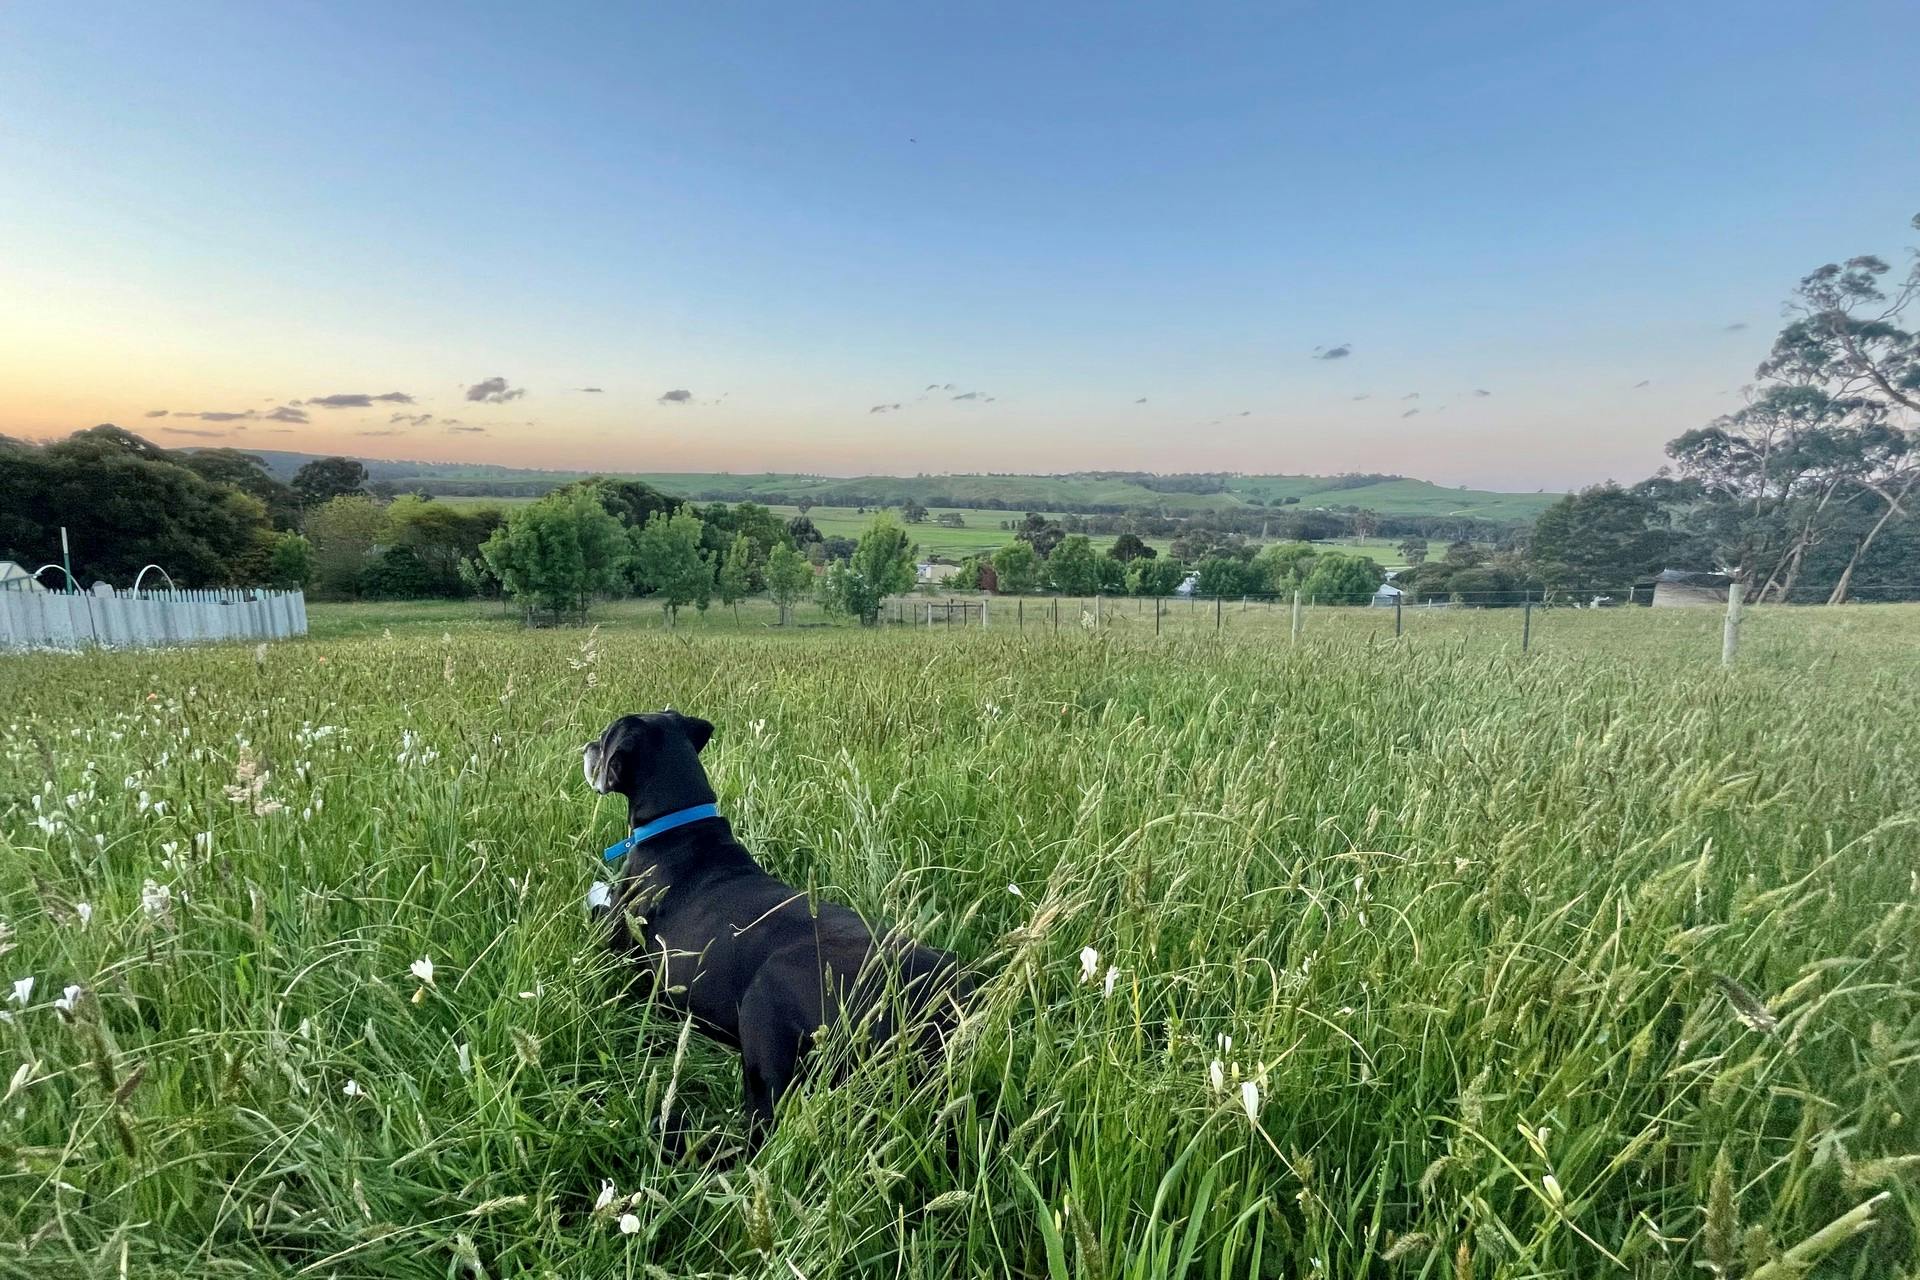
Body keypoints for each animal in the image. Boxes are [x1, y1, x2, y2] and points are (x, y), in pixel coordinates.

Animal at [584, 710, 968, 1146]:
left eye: (606, 739)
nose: (588, 748)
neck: (679, 826)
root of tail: (931, 1013)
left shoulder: (617, 940)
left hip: (764, 999)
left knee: (760, 1130)